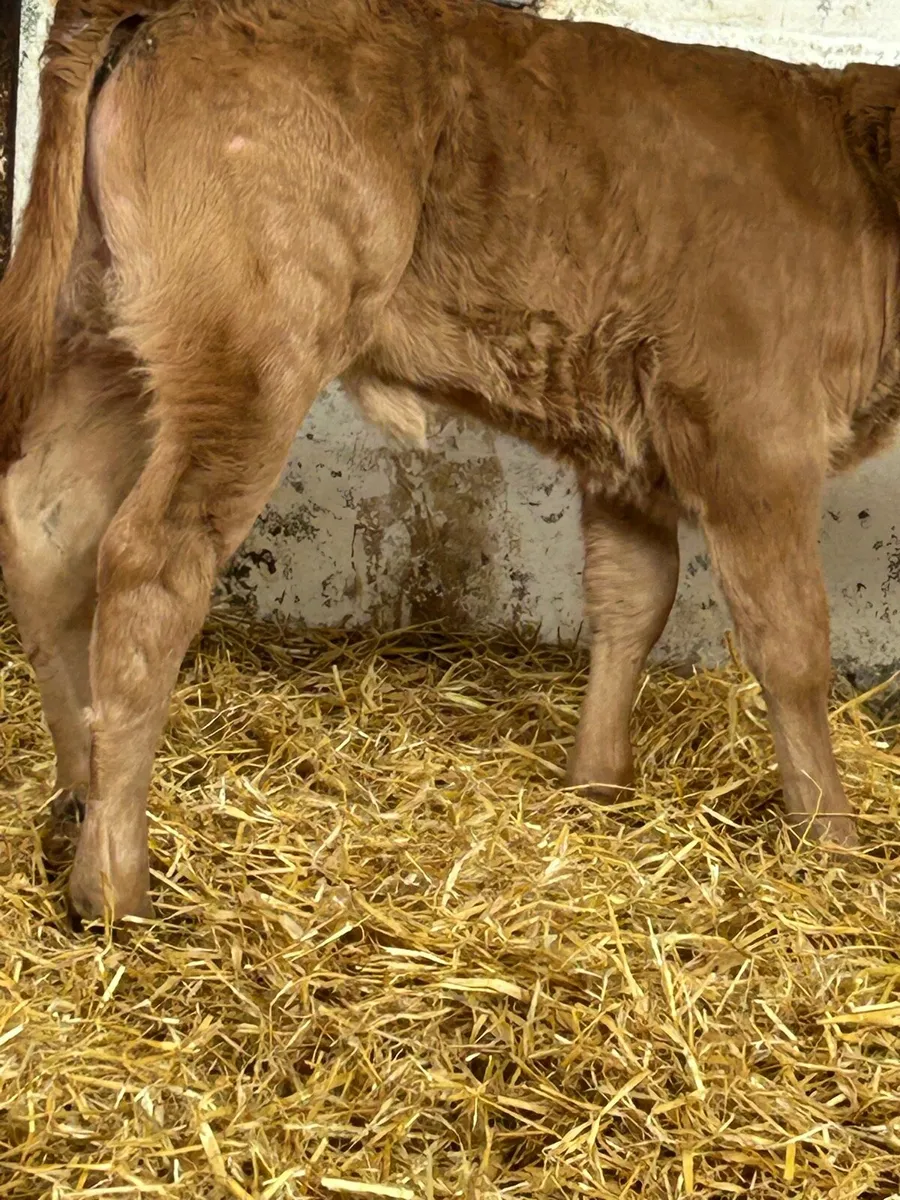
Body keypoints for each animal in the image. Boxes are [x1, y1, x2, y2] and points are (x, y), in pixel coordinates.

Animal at [1, 0, 898, 922]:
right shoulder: (754, 444)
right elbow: (792, 643)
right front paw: (833, 842)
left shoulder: (626, 454)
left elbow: (631, 601)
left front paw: (596, 783)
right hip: (249, 356)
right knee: (150, 562)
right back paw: (115, 881)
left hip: (109, 333)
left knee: (48, 525)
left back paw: (78, 795)